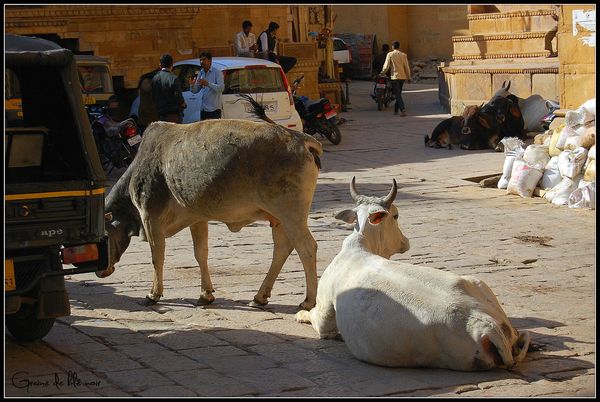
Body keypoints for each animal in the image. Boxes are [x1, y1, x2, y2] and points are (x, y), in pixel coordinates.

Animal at [98, 118, 324, 310]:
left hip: (291, 215)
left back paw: (308, 301)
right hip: (279, 219)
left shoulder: (150, 217)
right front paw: (205, 294)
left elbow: (157, 256)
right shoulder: (197, 218)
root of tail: (301, 138)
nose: (99, 270)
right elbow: (201, 253)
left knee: (307, 248)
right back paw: (260, 297)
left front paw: (153, 294)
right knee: (282, 250)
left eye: (104, 236)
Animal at [296, 177, 528, 372]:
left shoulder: (325, 319)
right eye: (396, 216)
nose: (406, 241)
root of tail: (485, 323)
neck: (359, 248)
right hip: (478, 282)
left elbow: (314, 317)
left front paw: (300, 314)